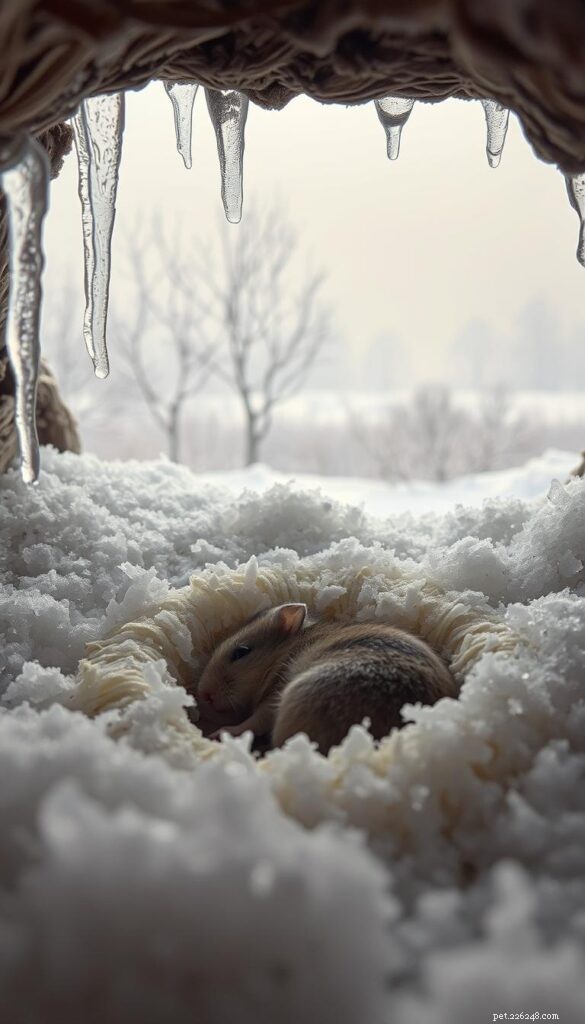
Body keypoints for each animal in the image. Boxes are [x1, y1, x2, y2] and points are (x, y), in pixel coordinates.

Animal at [196, 603, 458, 754]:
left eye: (241, 652)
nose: (203, 695)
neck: (283, 654)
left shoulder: (272, 699)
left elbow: (252, 722)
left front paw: (219, 732)